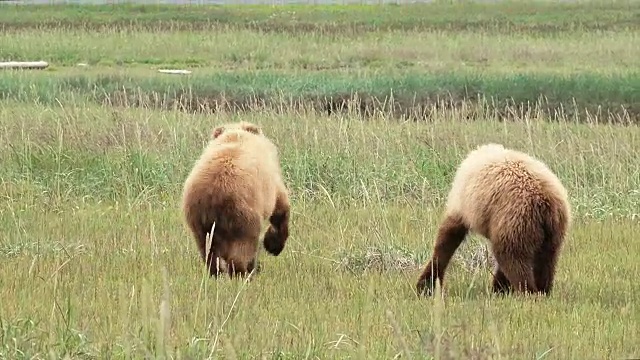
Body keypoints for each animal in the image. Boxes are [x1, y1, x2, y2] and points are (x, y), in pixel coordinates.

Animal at [180, 121, 290, 278]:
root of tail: (215, 195)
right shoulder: (271, 185)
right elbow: (280, 208)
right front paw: (274, 245)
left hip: (199, 219)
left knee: (208, 251)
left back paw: (217, 272)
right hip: (243, 216)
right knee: (243, 249)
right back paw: (247, 272)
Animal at [418, 143, 572, 298]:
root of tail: (545, 200)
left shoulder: (463, 204)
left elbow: (448, 237)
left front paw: (426, 284)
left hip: (515, 219)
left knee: (513, 258)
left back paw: (526, 291)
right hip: (552, 230)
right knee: (546, 259)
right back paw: (541, 290)